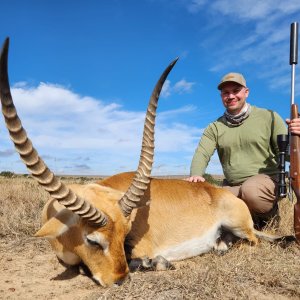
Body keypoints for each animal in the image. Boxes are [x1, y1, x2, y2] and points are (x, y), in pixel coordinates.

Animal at [0, 38, 292, 288]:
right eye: (92, 240)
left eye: (125, 233)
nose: (119, 280)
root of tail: (220, 193)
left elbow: (134, 260)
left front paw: (157, 263)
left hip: (241, 227)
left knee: (253, 242)